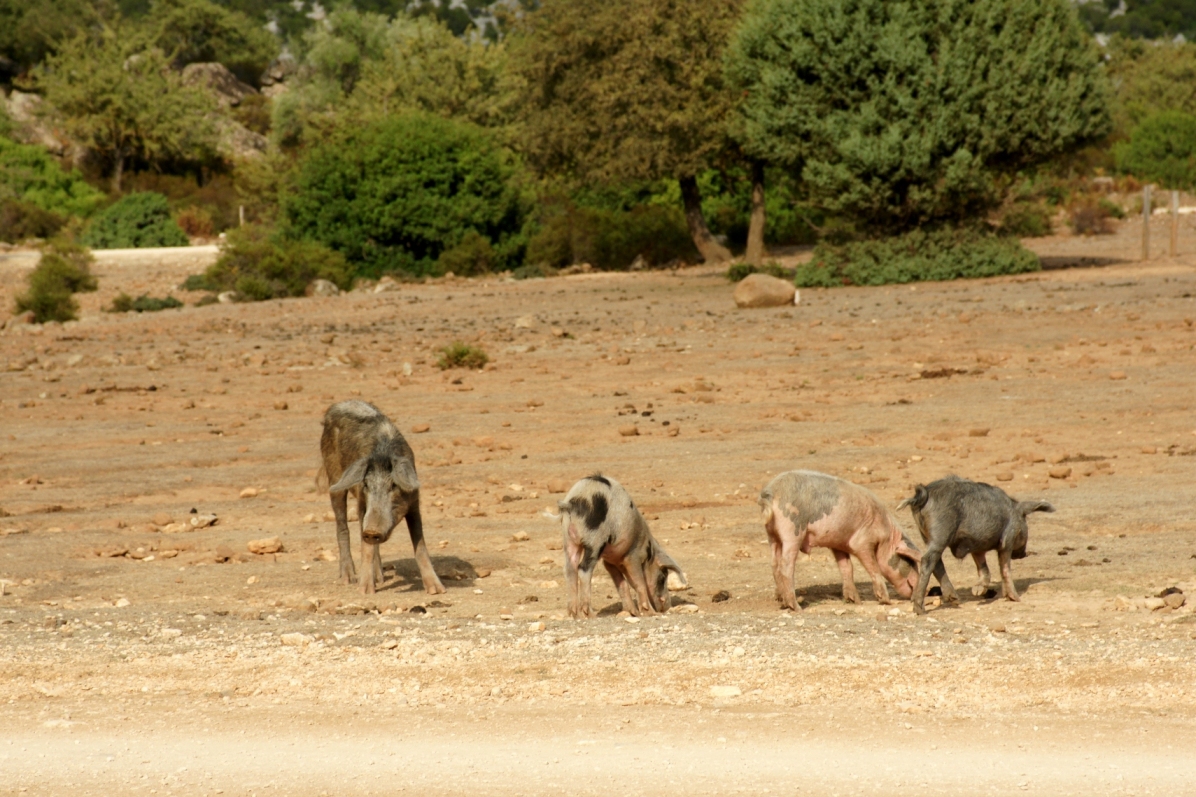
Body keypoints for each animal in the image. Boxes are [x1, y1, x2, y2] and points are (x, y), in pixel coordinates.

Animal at [320, 399, 447, 593]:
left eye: (394, 485)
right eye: (366, 485)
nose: (372, 531)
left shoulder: (414, 503)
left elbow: (420, 544)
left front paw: (437, 590)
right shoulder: (362, 502)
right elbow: (365, 545)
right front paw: (364, 591)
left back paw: (380, 578)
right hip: (334, 477)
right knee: (343, 526)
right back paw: (348, 579)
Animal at [547, 473, 684, 617]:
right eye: (662, 577)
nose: (666, 607)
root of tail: (573, 501)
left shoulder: (610, 562)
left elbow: (623, 584)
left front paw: (633, 612)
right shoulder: (633, 555)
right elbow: (639, 583)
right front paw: (650, 613)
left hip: (568, 539)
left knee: (570, 568)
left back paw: (573, 614)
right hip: (595, 540)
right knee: (583, 569)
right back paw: (591, 614)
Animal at [760, 466, 918, 607]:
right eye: (909, 561)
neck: (886, 536)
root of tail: (770, 492)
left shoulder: (838, 544)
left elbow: (847, 567)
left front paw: (855, 601)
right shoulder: (862, 541)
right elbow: (874, 567)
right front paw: (886, 601)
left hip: (772, 534)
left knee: (774, 563)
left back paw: (781, 601)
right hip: (793, 530)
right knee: (786, 564)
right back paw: (796, 606)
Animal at [899, 473, 1057, 610]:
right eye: (1025, 524)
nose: (1023, 554)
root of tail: (924, 494)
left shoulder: (976, 547)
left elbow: (983, 567)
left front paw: (978, 592)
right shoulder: (1007, 539)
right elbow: (1005, 567)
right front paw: (1015, 598)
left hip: (926, 535)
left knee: (937, 563)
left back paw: (955, 600)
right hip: (941, 531)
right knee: (928, 560)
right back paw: (919, 608)